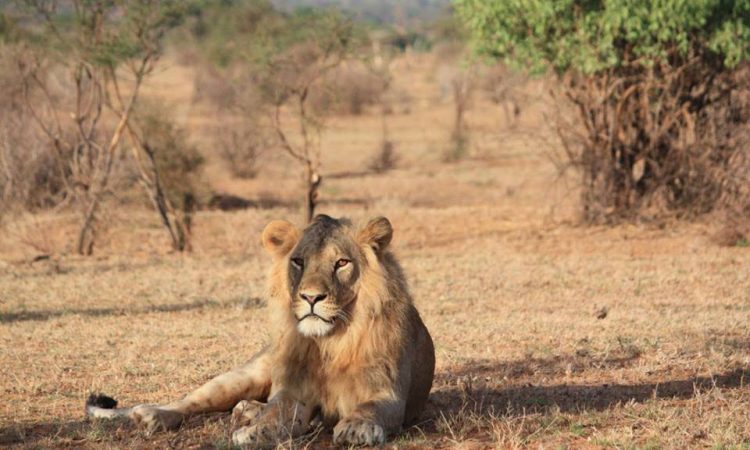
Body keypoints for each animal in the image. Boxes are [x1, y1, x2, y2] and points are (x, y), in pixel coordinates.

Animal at [87, 215, 438, 446]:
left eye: (341, 263)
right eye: (298, 261)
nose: (311, 297)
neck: (330, 343)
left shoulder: (388, 394)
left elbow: (369, 409)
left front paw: (356, 428)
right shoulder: (294, 393)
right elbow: (276, 414)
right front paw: (254, 432)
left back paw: (246, 411)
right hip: (242, 376)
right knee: (190, 402)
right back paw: (154, 415)